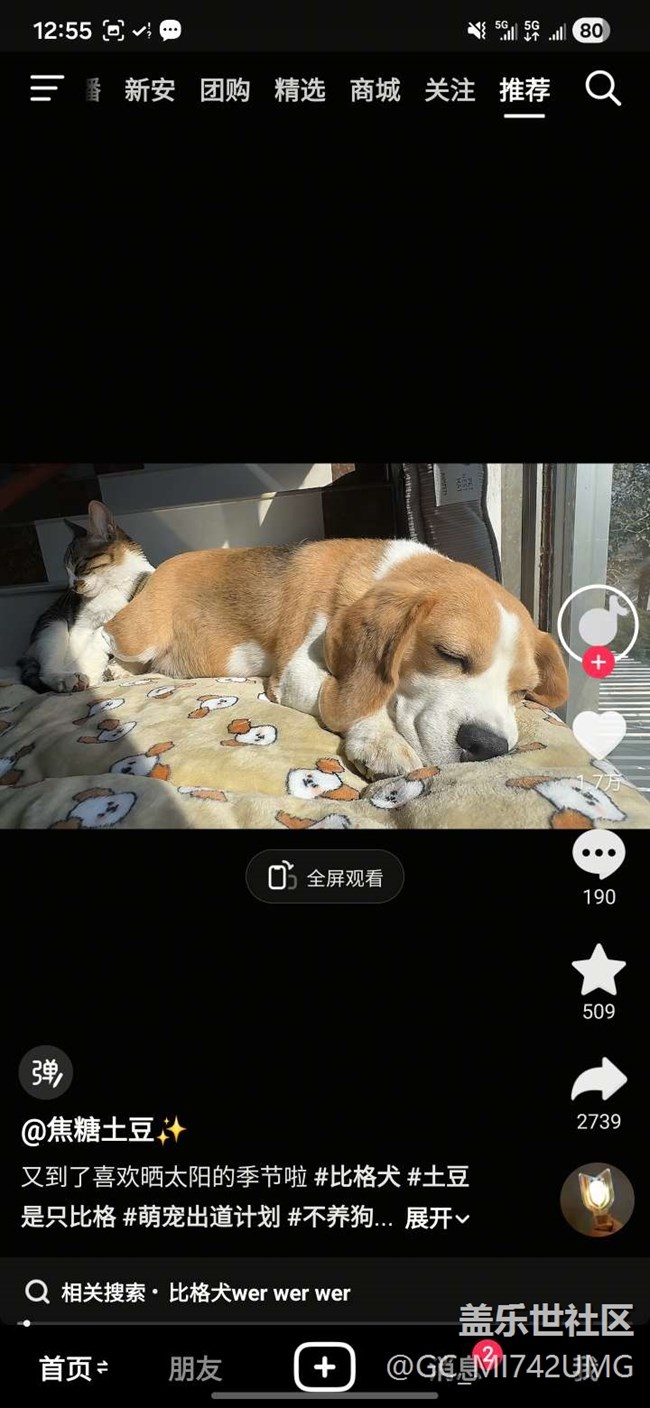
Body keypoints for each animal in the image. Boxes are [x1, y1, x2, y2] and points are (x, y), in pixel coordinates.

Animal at [18, 500, 154, 693]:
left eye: (79, 566)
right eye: (66, 570)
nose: (71, 586)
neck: (109, 588)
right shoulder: (80, 626)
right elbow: (76, 652)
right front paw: (78, 669)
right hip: (55, 625)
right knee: (47, 671)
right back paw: (68, 678)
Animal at [104, 539, 568, 779]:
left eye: (523, 690)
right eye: (449, 655)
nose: (488, 747)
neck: (386, 574)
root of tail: (159, 567)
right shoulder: (296, 670)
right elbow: (362, 702)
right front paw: (382, 741)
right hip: (138, 633)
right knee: (104, 633)